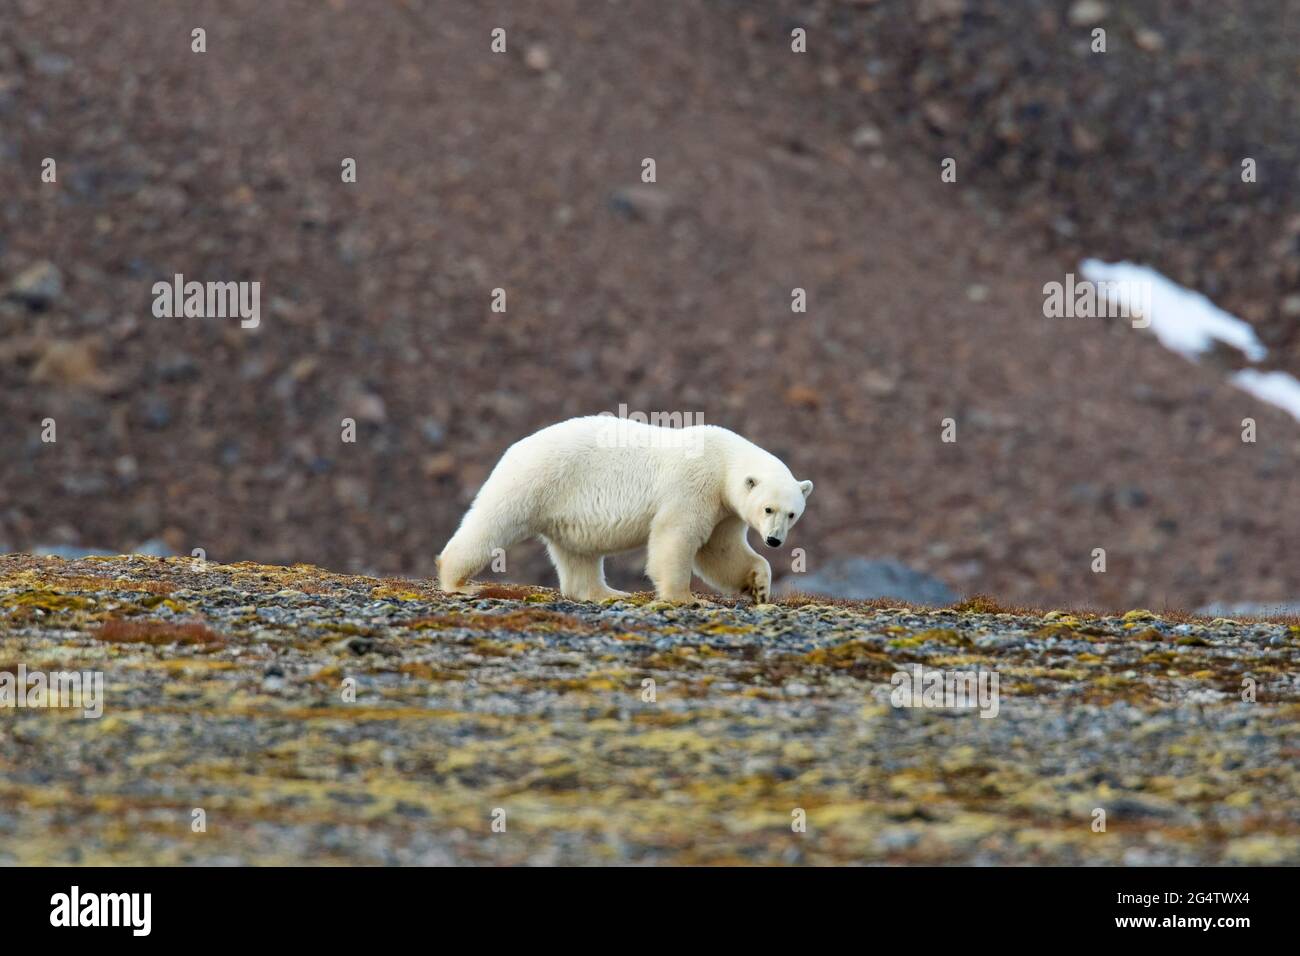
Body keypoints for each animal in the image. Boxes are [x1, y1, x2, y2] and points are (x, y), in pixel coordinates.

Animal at [436, 416, 811, 600]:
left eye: (791, 513)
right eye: (768, 509)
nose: (775, 540)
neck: (723, 461)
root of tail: (515, 447)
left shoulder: (723, 509)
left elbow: (721, 551)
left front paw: (759, 586)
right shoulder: (693, 486)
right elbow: (676, 537)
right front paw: (687, 598)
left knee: (578, 555)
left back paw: (606, 592)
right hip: (535, 481)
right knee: (492, 522)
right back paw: (458, 581)